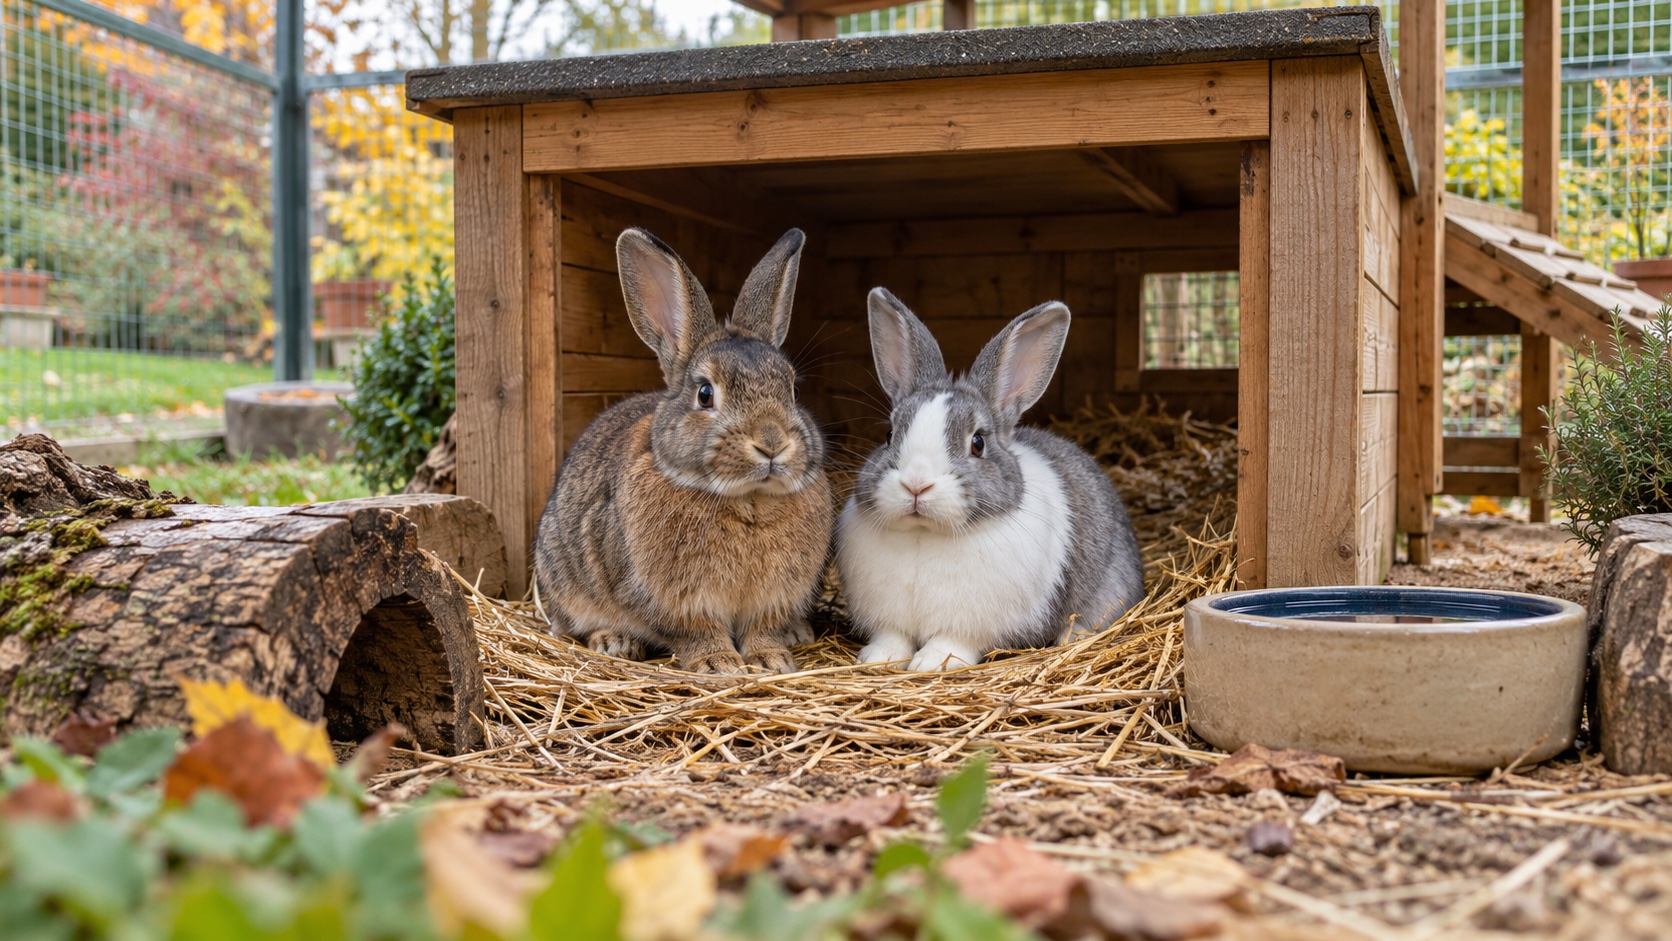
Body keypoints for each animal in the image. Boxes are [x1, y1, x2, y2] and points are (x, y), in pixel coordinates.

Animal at [532, 227, 832, 675]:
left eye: (793, 390)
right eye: (705, 394)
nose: (772, 444)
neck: (748, 500)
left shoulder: (773, 601)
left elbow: (763, 628)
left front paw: (771, 660)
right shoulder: (669, 600)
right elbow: (695, 631)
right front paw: (718, 664)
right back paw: (614, 641)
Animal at [834, 288, 1145, 672]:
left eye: (978, 443)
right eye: (889, 435)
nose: (917, 484)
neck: (925, 534)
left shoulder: (968, 628)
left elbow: (951, 642)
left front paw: (931, 663)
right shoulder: (888, 621)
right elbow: (892, 637)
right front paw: (878, 658)